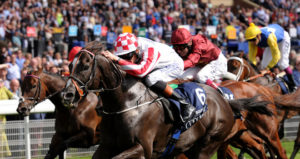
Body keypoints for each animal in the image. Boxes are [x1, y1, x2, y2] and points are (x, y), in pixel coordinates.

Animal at [60, 41, 272, 158]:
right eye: (70, 65)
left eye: (85, 66)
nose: (67, 94)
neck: (126, 103)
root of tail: (225, 100)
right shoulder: (106, 146)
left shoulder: (141, 148)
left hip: (207, 146)